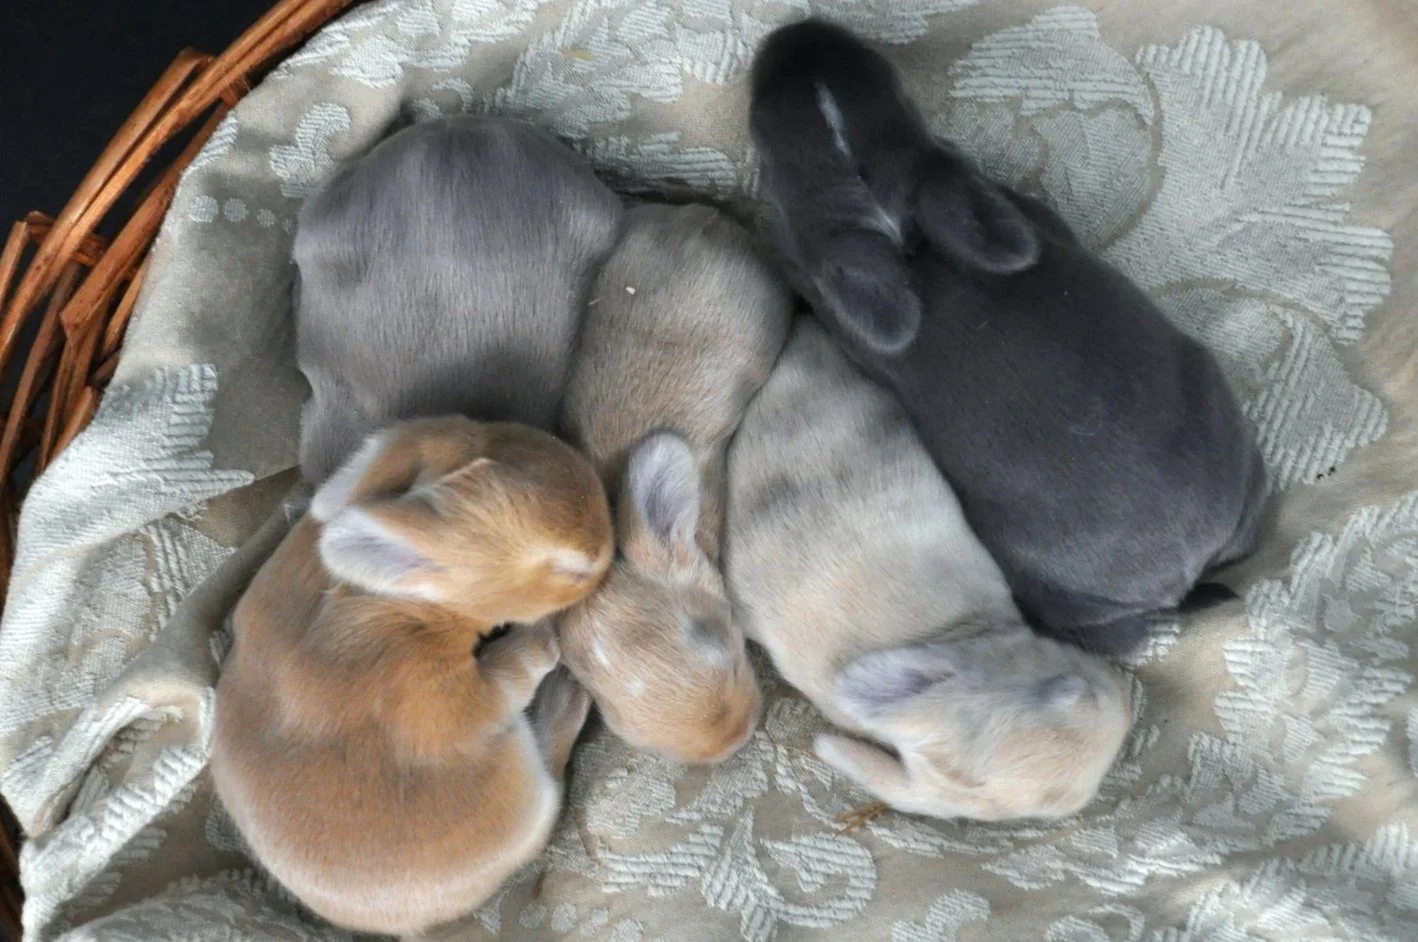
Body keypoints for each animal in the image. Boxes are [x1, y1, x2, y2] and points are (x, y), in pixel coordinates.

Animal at [211, 415, 613, 936]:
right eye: (572, 567)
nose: (611, 545)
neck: (396, 597)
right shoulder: (446, 695)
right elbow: (511, 676)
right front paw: (545, 639)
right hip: (528, 796)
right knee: (553, 771)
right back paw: (569, 695)